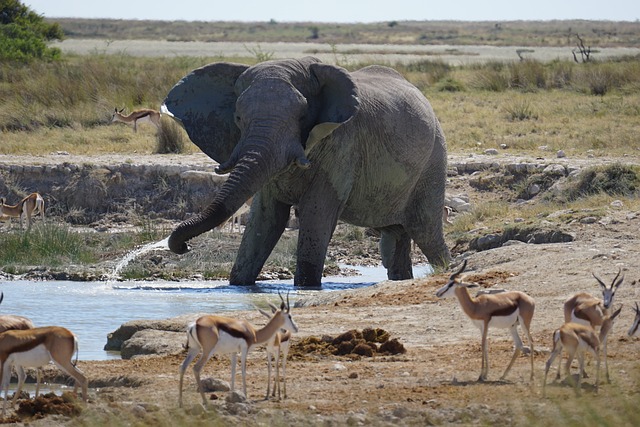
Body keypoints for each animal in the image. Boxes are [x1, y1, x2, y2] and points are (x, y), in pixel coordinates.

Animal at [162, 55, 452, 286]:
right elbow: (266, 218)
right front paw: (239, 285)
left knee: (426, 233)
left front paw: (306, 286)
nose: (184, 247)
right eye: (238, 118)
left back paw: (446, 271)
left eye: (302, 117)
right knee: (395, 238)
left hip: (433, 161)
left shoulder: (343, 144)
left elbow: (316, 212)